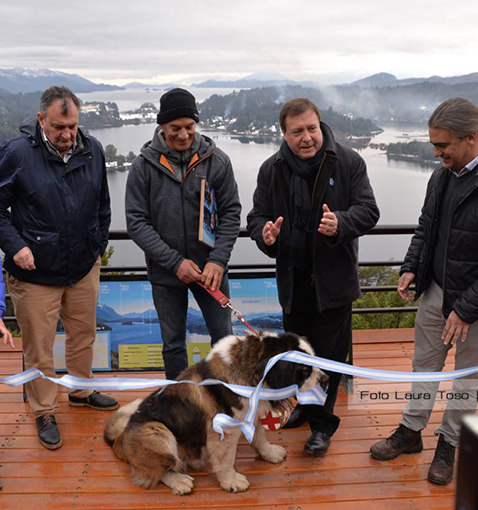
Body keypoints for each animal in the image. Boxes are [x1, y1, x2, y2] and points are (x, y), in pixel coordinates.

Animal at [103, 330, 328, 494]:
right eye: (304, 370)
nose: (326, 380)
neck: (255, 368)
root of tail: (120, 438)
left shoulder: (251, 414)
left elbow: (260, 437)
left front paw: (270, 453)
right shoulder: (224, 430)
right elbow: (227, 458)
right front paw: (231, 481)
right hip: (157, 431)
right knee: (156, 471)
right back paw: (179, 480)